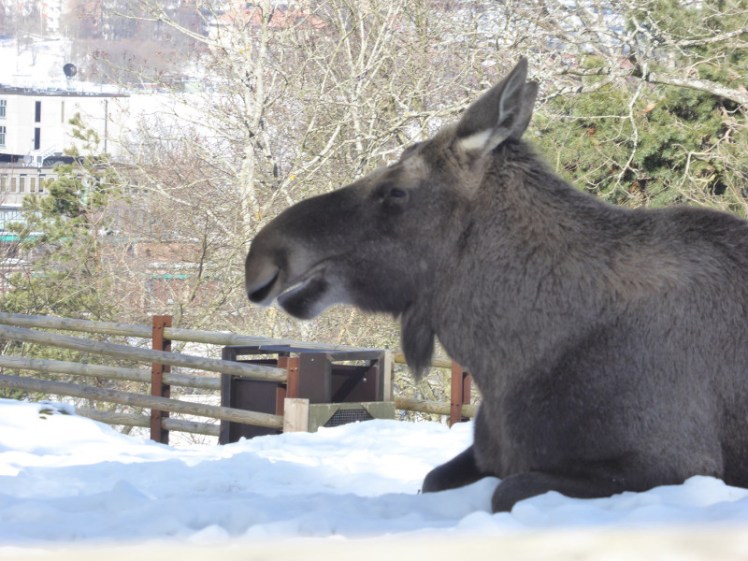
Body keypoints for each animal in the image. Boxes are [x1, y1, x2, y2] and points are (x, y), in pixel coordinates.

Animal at [244, 58, 748, 512]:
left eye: (396, 191)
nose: (263, 256)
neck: (509, 363)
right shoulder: (487, 451)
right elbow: (432, 479)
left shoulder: (673, 463)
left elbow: (507, 491)